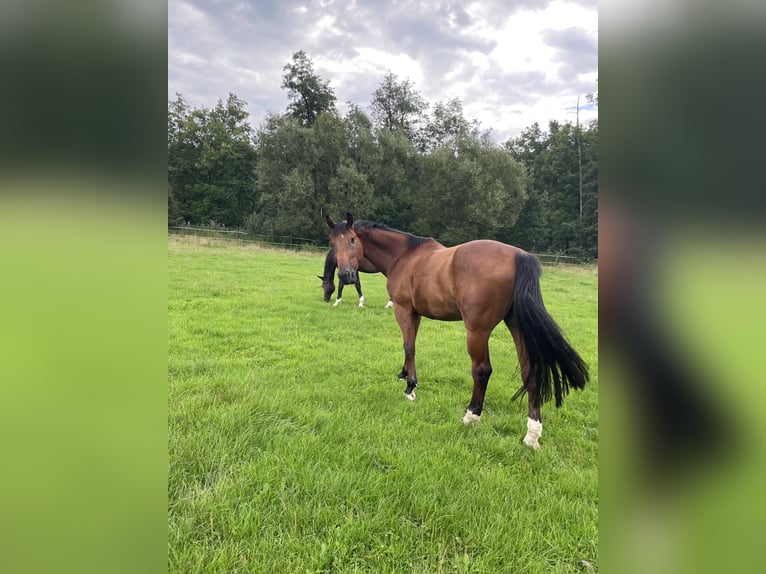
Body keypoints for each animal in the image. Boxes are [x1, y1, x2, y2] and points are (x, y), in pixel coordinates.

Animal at [328, 213, 592, 450]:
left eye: (352, 239)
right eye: (333, 242)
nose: (346, 275)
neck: (404, 256)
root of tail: (519, 255)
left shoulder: (404, 310)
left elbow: (409, 346)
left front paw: (410, 388)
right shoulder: (416, 313)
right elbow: (410, 346)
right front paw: (404, 374)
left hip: (477, 331)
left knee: (482, 370)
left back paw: (472, 416)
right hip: (516, 326)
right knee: (531, 372)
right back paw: (532, 434)